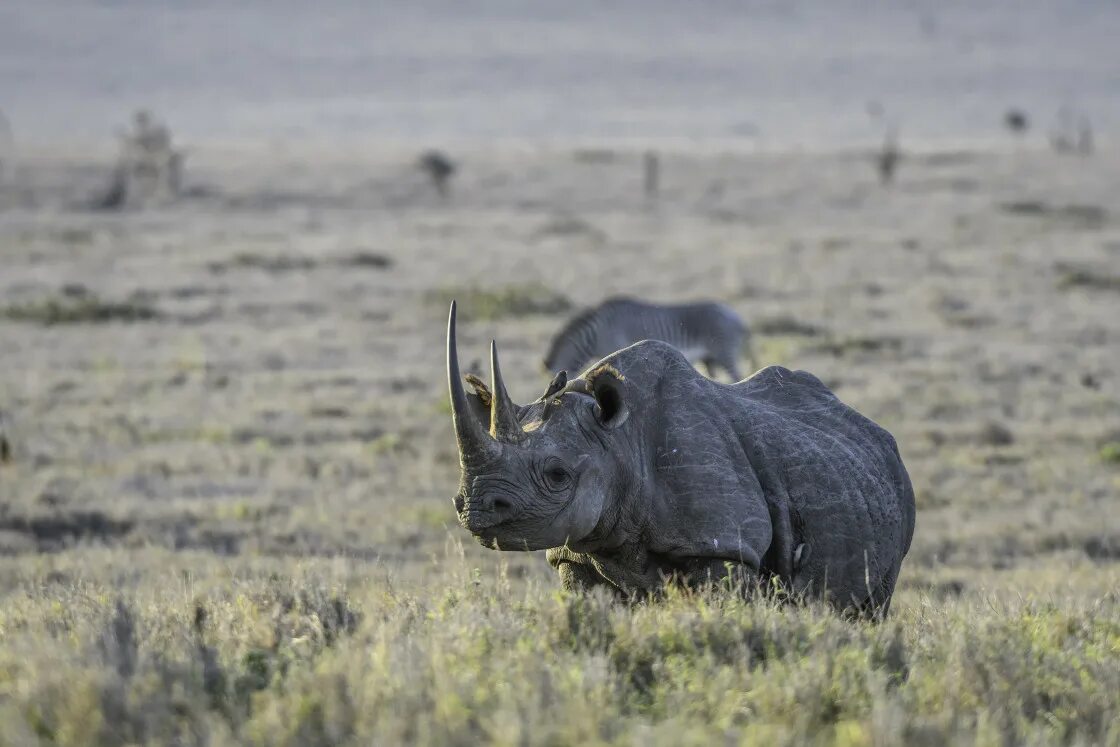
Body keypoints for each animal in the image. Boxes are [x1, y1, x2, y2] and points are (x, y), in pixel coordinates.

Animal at [539, 297, 752, 380]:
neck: (596, 334)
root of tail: (735, 315)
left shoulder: (614, 349)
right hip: (711, 359)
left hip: (724, 351)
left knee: (737, 377)